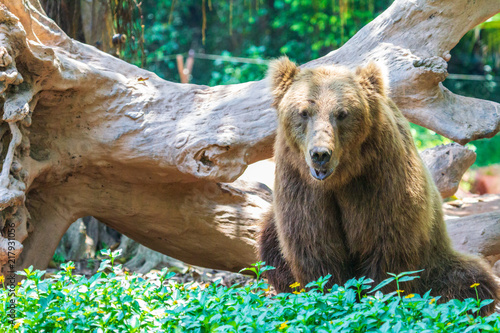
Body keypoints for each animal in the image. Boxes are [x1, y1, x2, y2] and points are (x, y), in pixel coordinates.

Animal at [260, 57, 498, 314]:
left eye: (342, 113)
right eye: (304, 112)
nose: (320, 154)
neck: (340, 178)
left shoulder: (378, 179)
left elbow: (386, 246)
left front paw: (376, 300)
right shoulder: (301, 184)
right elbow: (314, 244)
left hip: (435, 259)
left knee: (470, 281)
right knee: (269, 244)